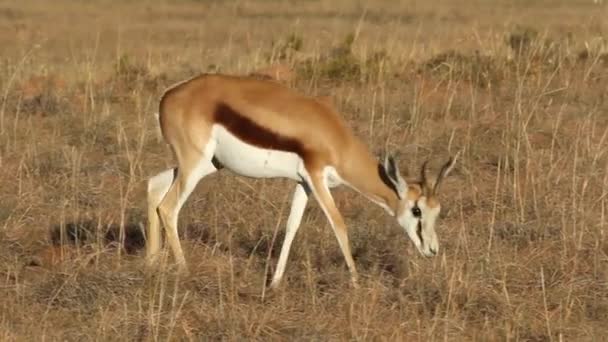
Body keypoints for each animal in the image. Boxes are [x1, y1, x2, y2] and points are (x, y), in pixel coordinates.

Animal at [147, 74, 456, 288]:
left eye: (438, 211)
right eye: (416, 210)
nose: (432, 250)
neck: (335, 139)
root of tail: (169, 95)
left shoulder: (303, 183)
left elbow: (291, 226)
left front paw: (274, 283)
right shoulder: (317, 178)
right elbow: (339, 225)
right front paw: (357, 284)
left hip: (205, 165)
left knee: (153, 186)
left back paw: (151, 262)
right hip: (195, 165)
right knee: (169, 208)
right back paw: (184, 271)